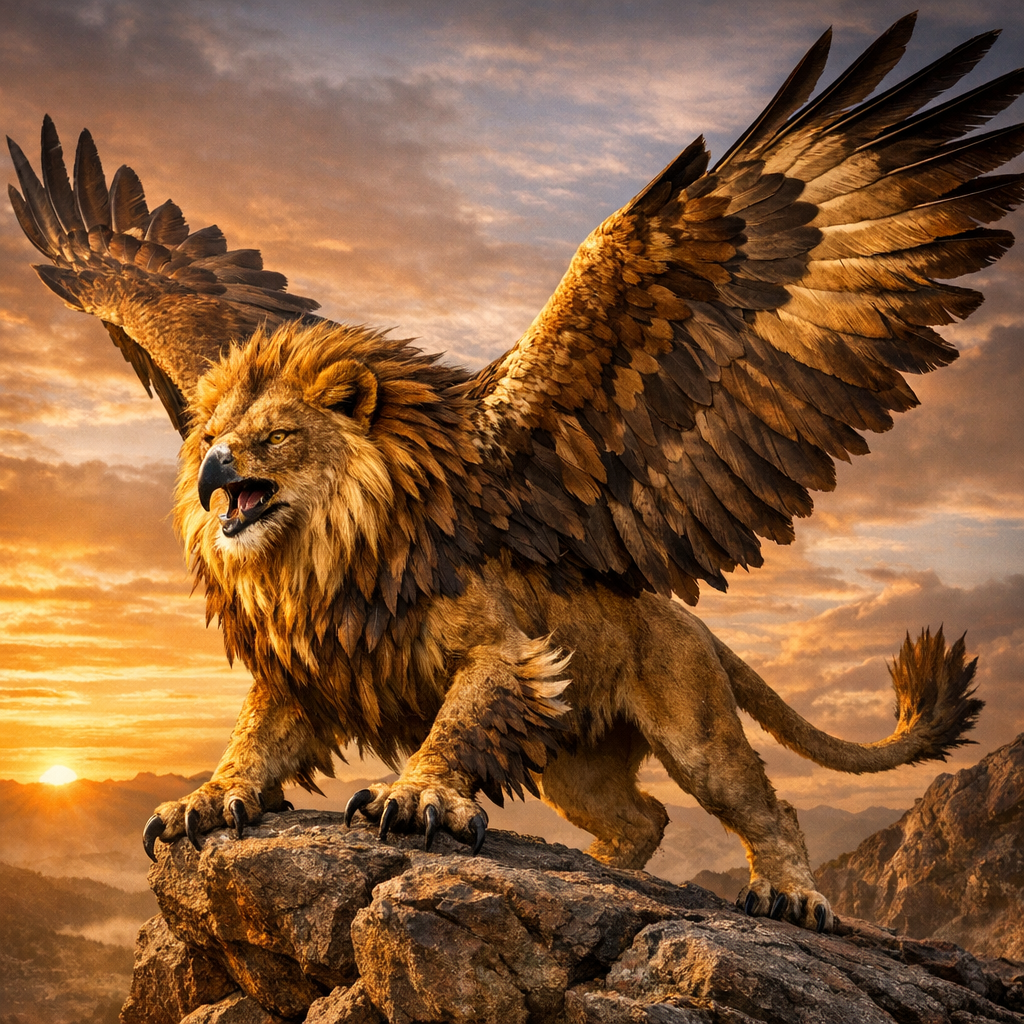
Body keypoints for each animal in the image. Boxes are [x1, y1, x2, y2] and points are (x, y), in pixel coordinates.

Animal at [10, 13, 1017, 931]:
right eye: (211, 432)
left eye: (275, 437)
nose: (215, 469)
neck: (321, 552)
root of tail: (683, 618)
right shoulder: (306, 666)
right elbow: (255, 739)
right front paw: (209, 797)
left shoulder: (504, 652)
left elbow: (460, 720)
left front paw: (414, 797)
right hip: (577, 758)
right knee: (644, 818)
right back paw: (607, 871)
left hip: (692, 722)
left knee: (760, 800)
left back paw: (791, 895)